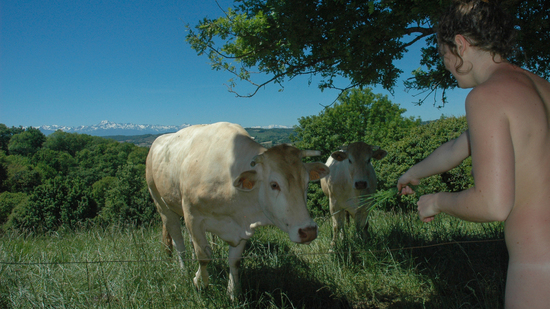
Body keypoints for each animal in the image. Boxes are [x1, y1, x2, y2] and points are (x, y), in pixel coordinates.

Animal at [144, 121, 330, 298]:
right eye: (274, 185)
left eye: (306, 182)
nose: (309, 231)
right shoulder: (192, 217)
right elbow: (204, 256)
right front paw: (200, 282)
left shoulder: (242, 226)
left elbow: (234, 261)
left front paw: (233, 292)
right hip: (162, 205)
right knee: (178, 242)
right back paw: (183, 270)